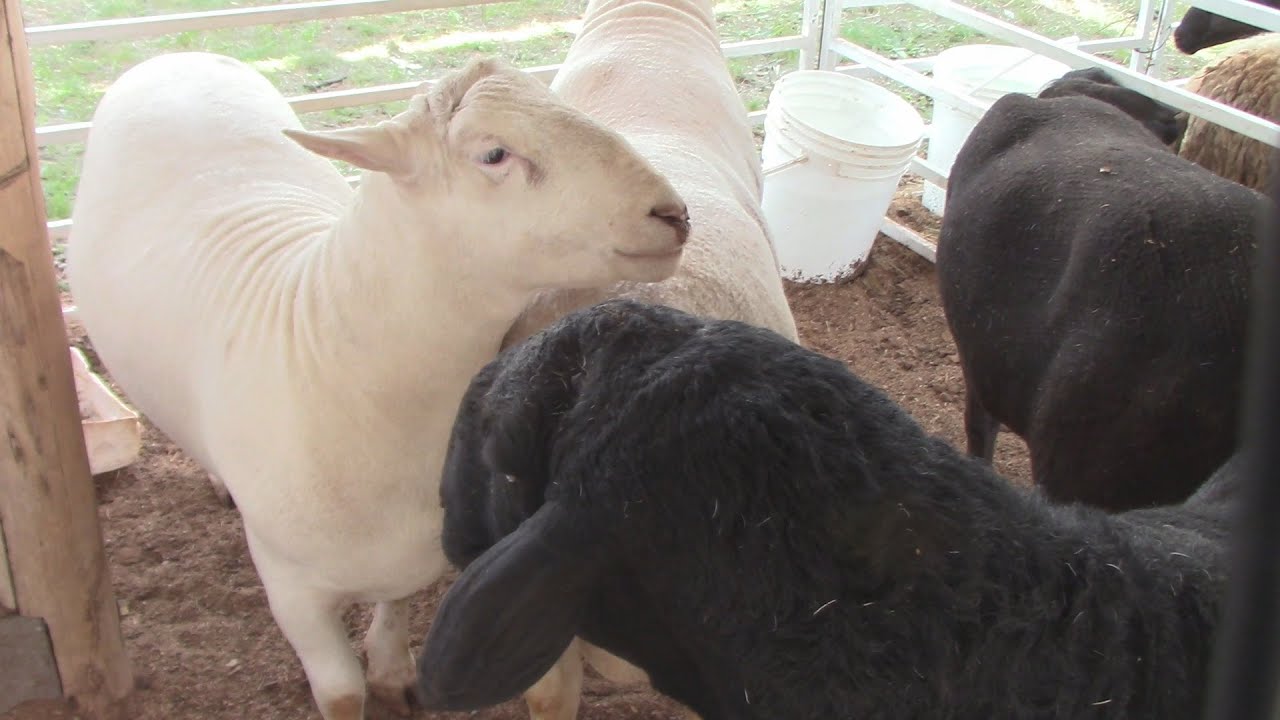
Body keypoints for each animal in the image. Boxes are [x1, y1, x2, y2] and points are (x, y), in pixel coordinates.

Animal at [66, 52, 691, 720]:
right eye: (494, 154)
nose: (673, 215)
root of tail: (178, 56)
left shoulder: (413, 551)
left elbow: (394, 608)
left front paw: (393, 675)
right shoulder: (291, 592)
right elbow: (341, 692)